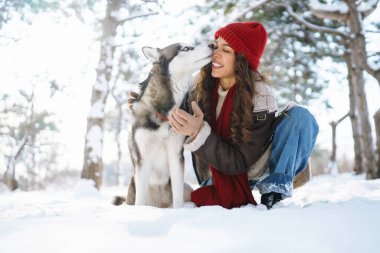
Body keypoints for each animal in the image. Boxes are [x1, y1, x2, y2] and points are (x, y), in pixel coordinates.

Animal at [113, 42, 212, 208]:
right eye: (185, 48)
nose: (213, 44)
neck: (164, 111)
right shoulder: (143, 159)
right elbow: (140, 200)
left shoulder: (175, 154)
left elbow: (177, 196)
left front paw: (178, 210)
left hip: (186, 188)